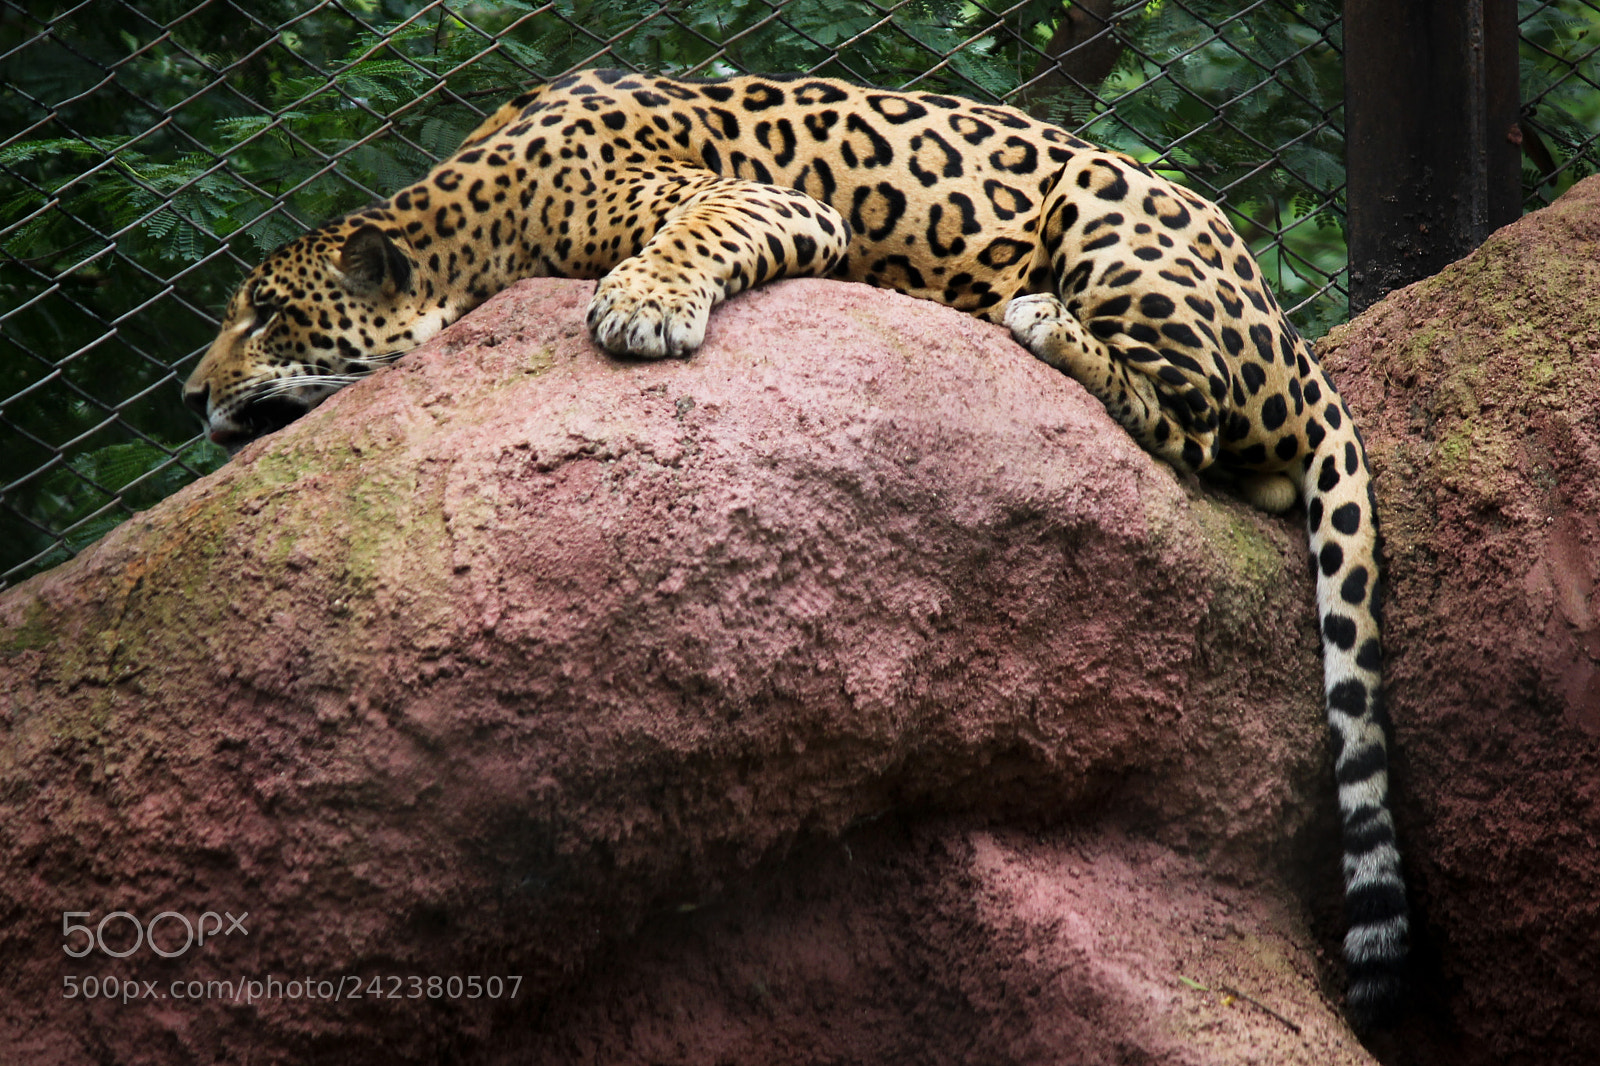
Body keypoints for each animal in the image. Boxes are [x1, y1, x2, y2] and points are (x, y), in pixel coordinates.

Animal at [183, 68, 1409, 1026]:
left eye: (264, 315)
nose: (191, 397)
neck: (472, 217)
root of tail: (1295, 338)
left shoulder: (762, 199)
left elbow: (692, 234)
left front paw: (643, 305)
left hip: (1121, 218)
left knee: (1188, 422)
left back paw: (1039, 318)